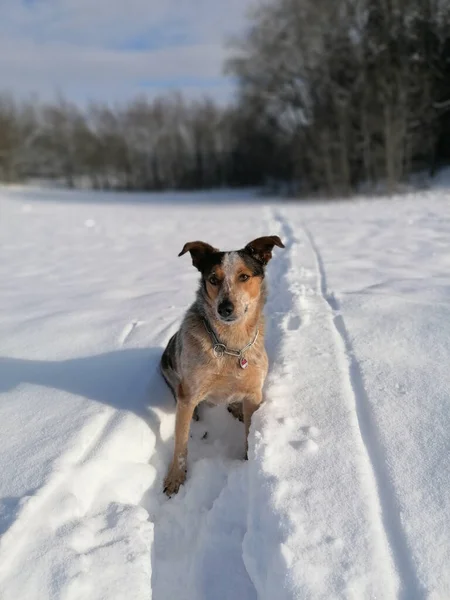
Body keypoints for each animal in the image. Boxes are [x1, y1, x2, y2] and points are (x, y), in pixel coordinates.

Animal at [160, 236, 284, 496]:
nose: (224, 308)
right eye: (213, 279)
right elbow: (181, 443)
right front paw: (175, 477)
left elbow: (249, 430)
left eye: (244, 276)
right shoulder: (189, 394)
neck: (230, 345)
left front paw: (249, 457)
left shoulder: (254, 393)